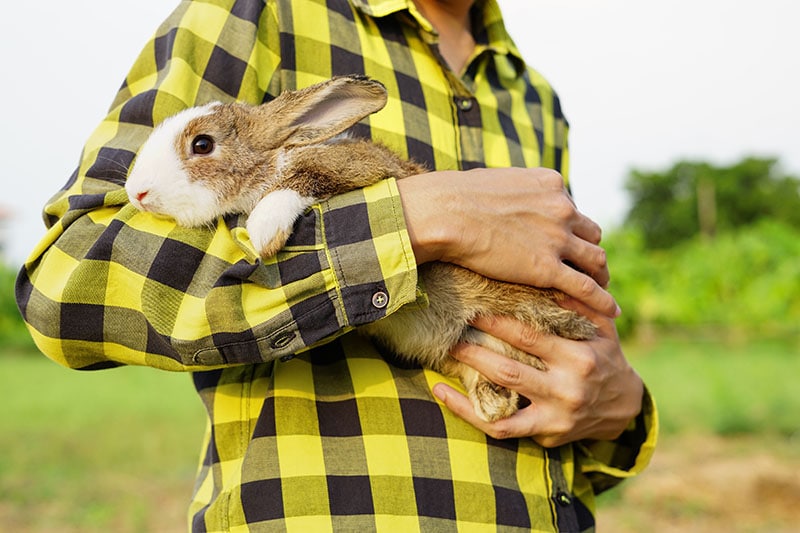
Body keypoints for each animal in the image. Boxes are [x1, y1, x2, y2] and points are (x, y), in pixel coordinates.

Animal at [126, 75, 592, 422]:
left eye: (202, 144)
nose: (137, 193)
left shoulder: (356, 169)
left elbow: (303, 179)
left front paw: (263, 231)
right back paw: (494, 402)